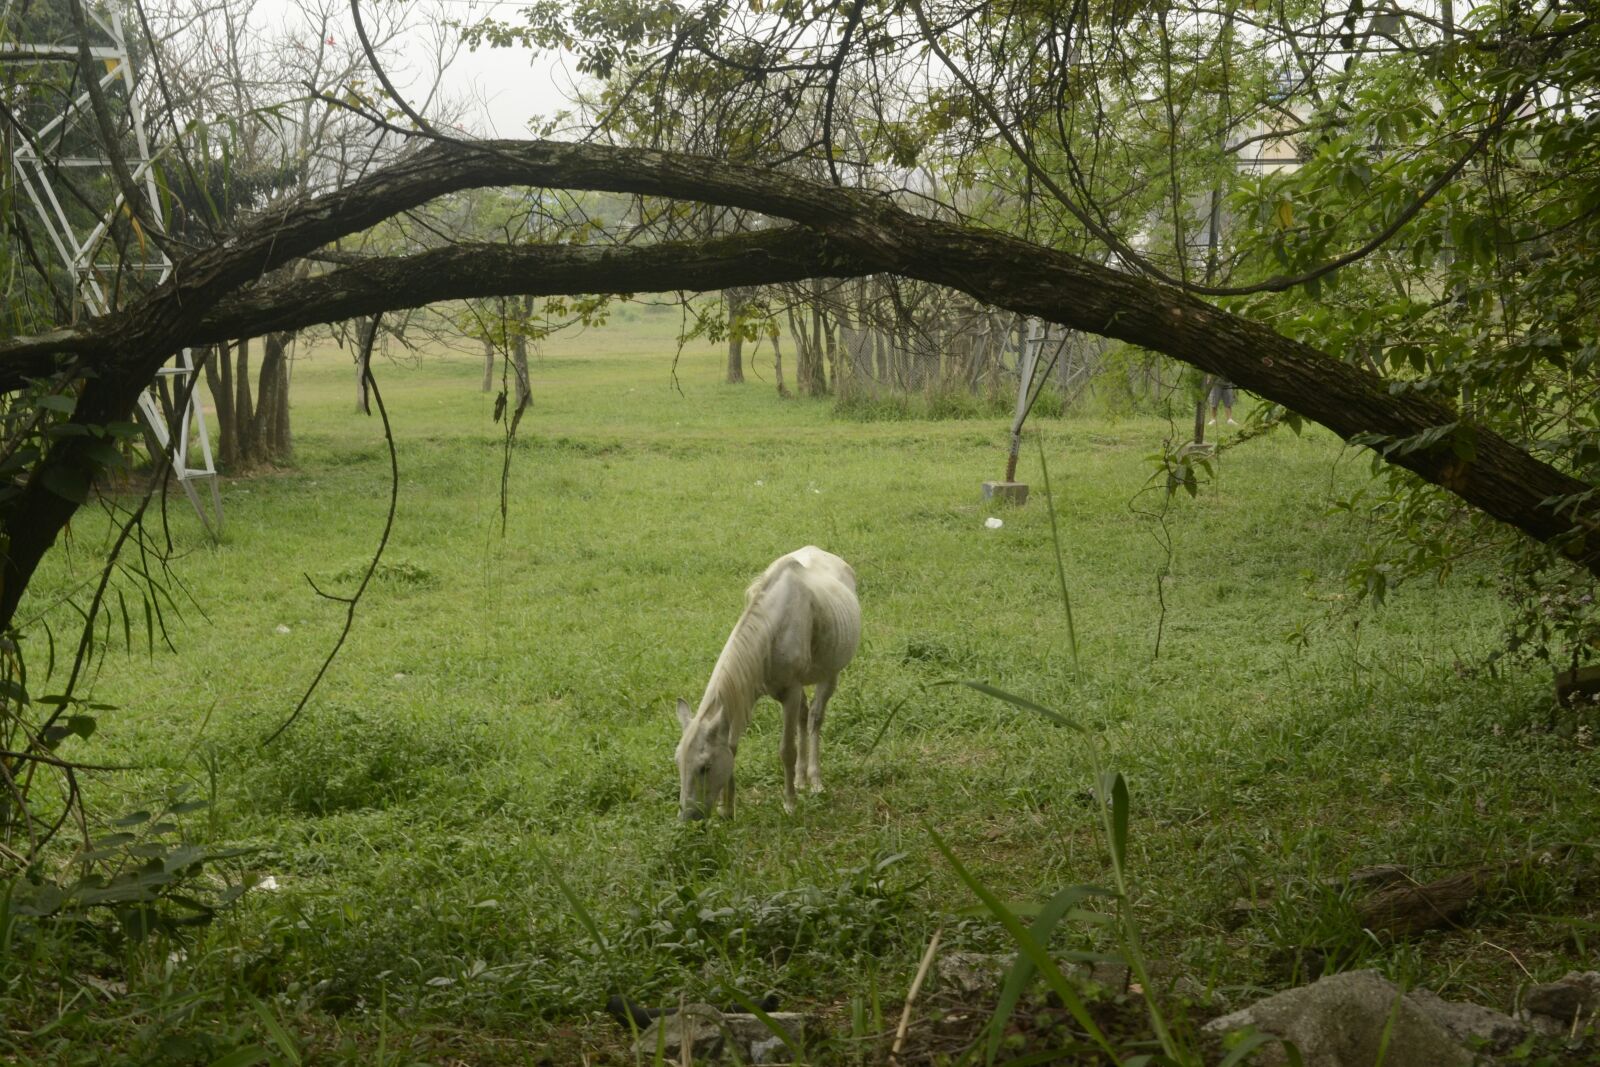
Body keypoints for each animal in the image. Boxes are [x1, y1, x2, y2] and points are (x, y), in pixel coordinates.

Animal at [674, 546, 860, 820]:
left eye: (705, 767)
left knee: (815, 718)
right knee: (804, 716)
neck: (772, 629)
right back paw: (801, 780)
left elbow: (787, 750)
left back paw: (814, 781)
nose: (687, 817)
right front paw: (726, 809)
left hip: (829, 674)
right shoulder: (745, 692)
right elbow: (732, 747)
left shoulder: (790, 692)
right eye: (678, 762)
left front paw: (790, 804)